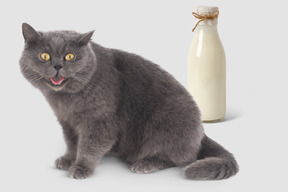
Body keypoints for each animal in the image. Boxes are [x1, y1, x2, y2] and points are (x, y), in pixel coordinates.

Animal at [18, 22, 238, 180]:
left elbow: (89, 146)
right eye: (44, 56)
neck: (66, 100)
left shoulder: (100, 122)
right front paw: (68, 159)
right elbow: (72, 143)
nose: (57, 66)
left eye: (70, 56)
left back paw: (144, 164)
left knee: (179, 158)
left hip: (163, 124)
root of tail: (202, 132)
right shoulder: (68, 122)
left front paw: (81, 168)